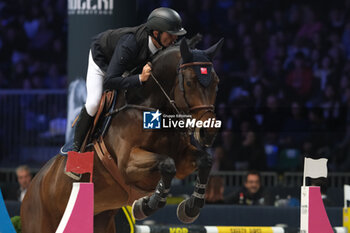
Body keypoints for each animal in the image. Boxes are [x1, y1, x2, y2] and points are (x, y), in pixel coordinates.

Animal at [20, 38, 223, 233]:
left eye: (216, 82)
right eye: (189, 82)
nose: (208, 132)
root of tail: (31, 188)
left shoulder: (181, 159)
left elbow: (204, 161)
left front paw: (189, 208)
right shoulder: (127, 164)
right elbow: (167, 164)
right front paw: (145, 205)